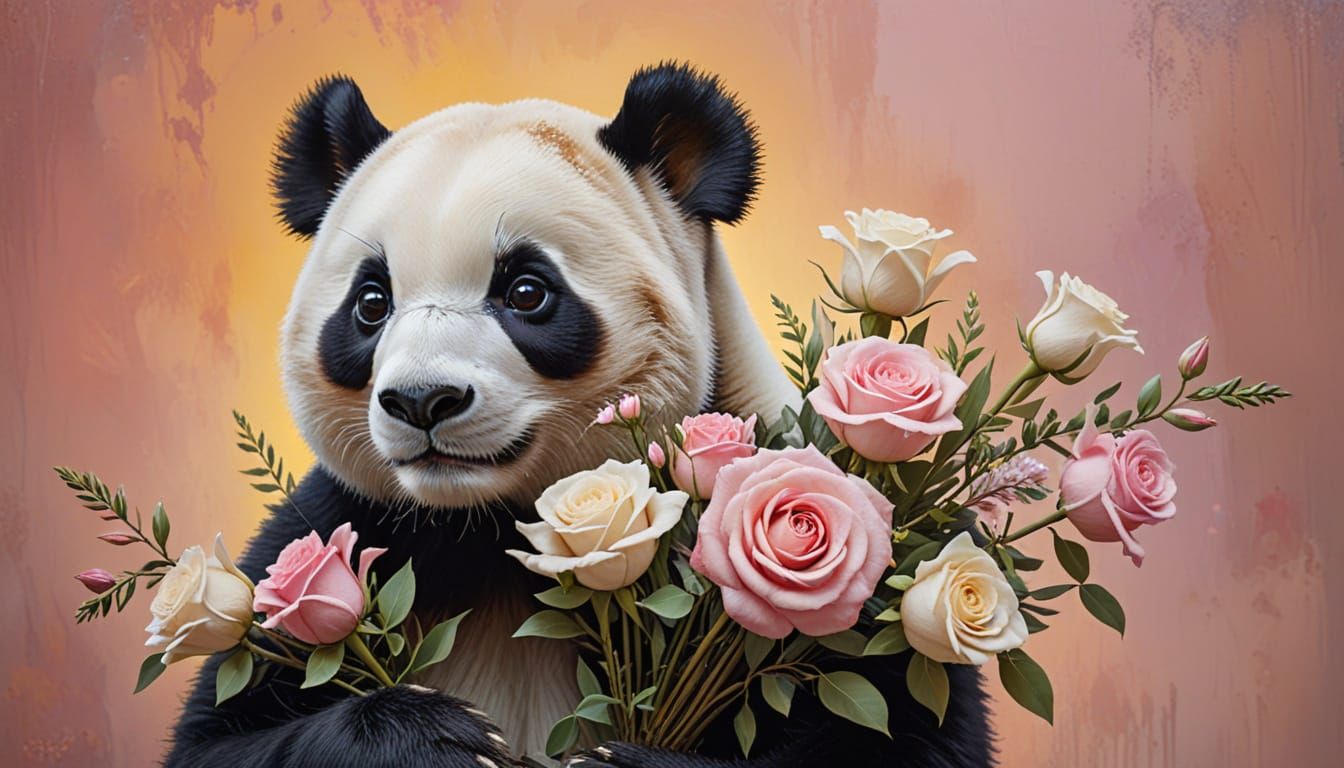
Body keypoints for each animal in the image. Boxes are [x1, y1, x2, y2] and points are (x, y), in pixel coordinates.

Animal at [165, 64, 992, 768]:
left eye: (526, 290)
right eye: (371, 302)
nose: (422, 400)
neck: (491, 529)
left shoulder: (855, 532)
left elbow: (906, 734)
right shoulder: (339, 529)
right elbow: (217, 740)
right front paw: (438, 740)